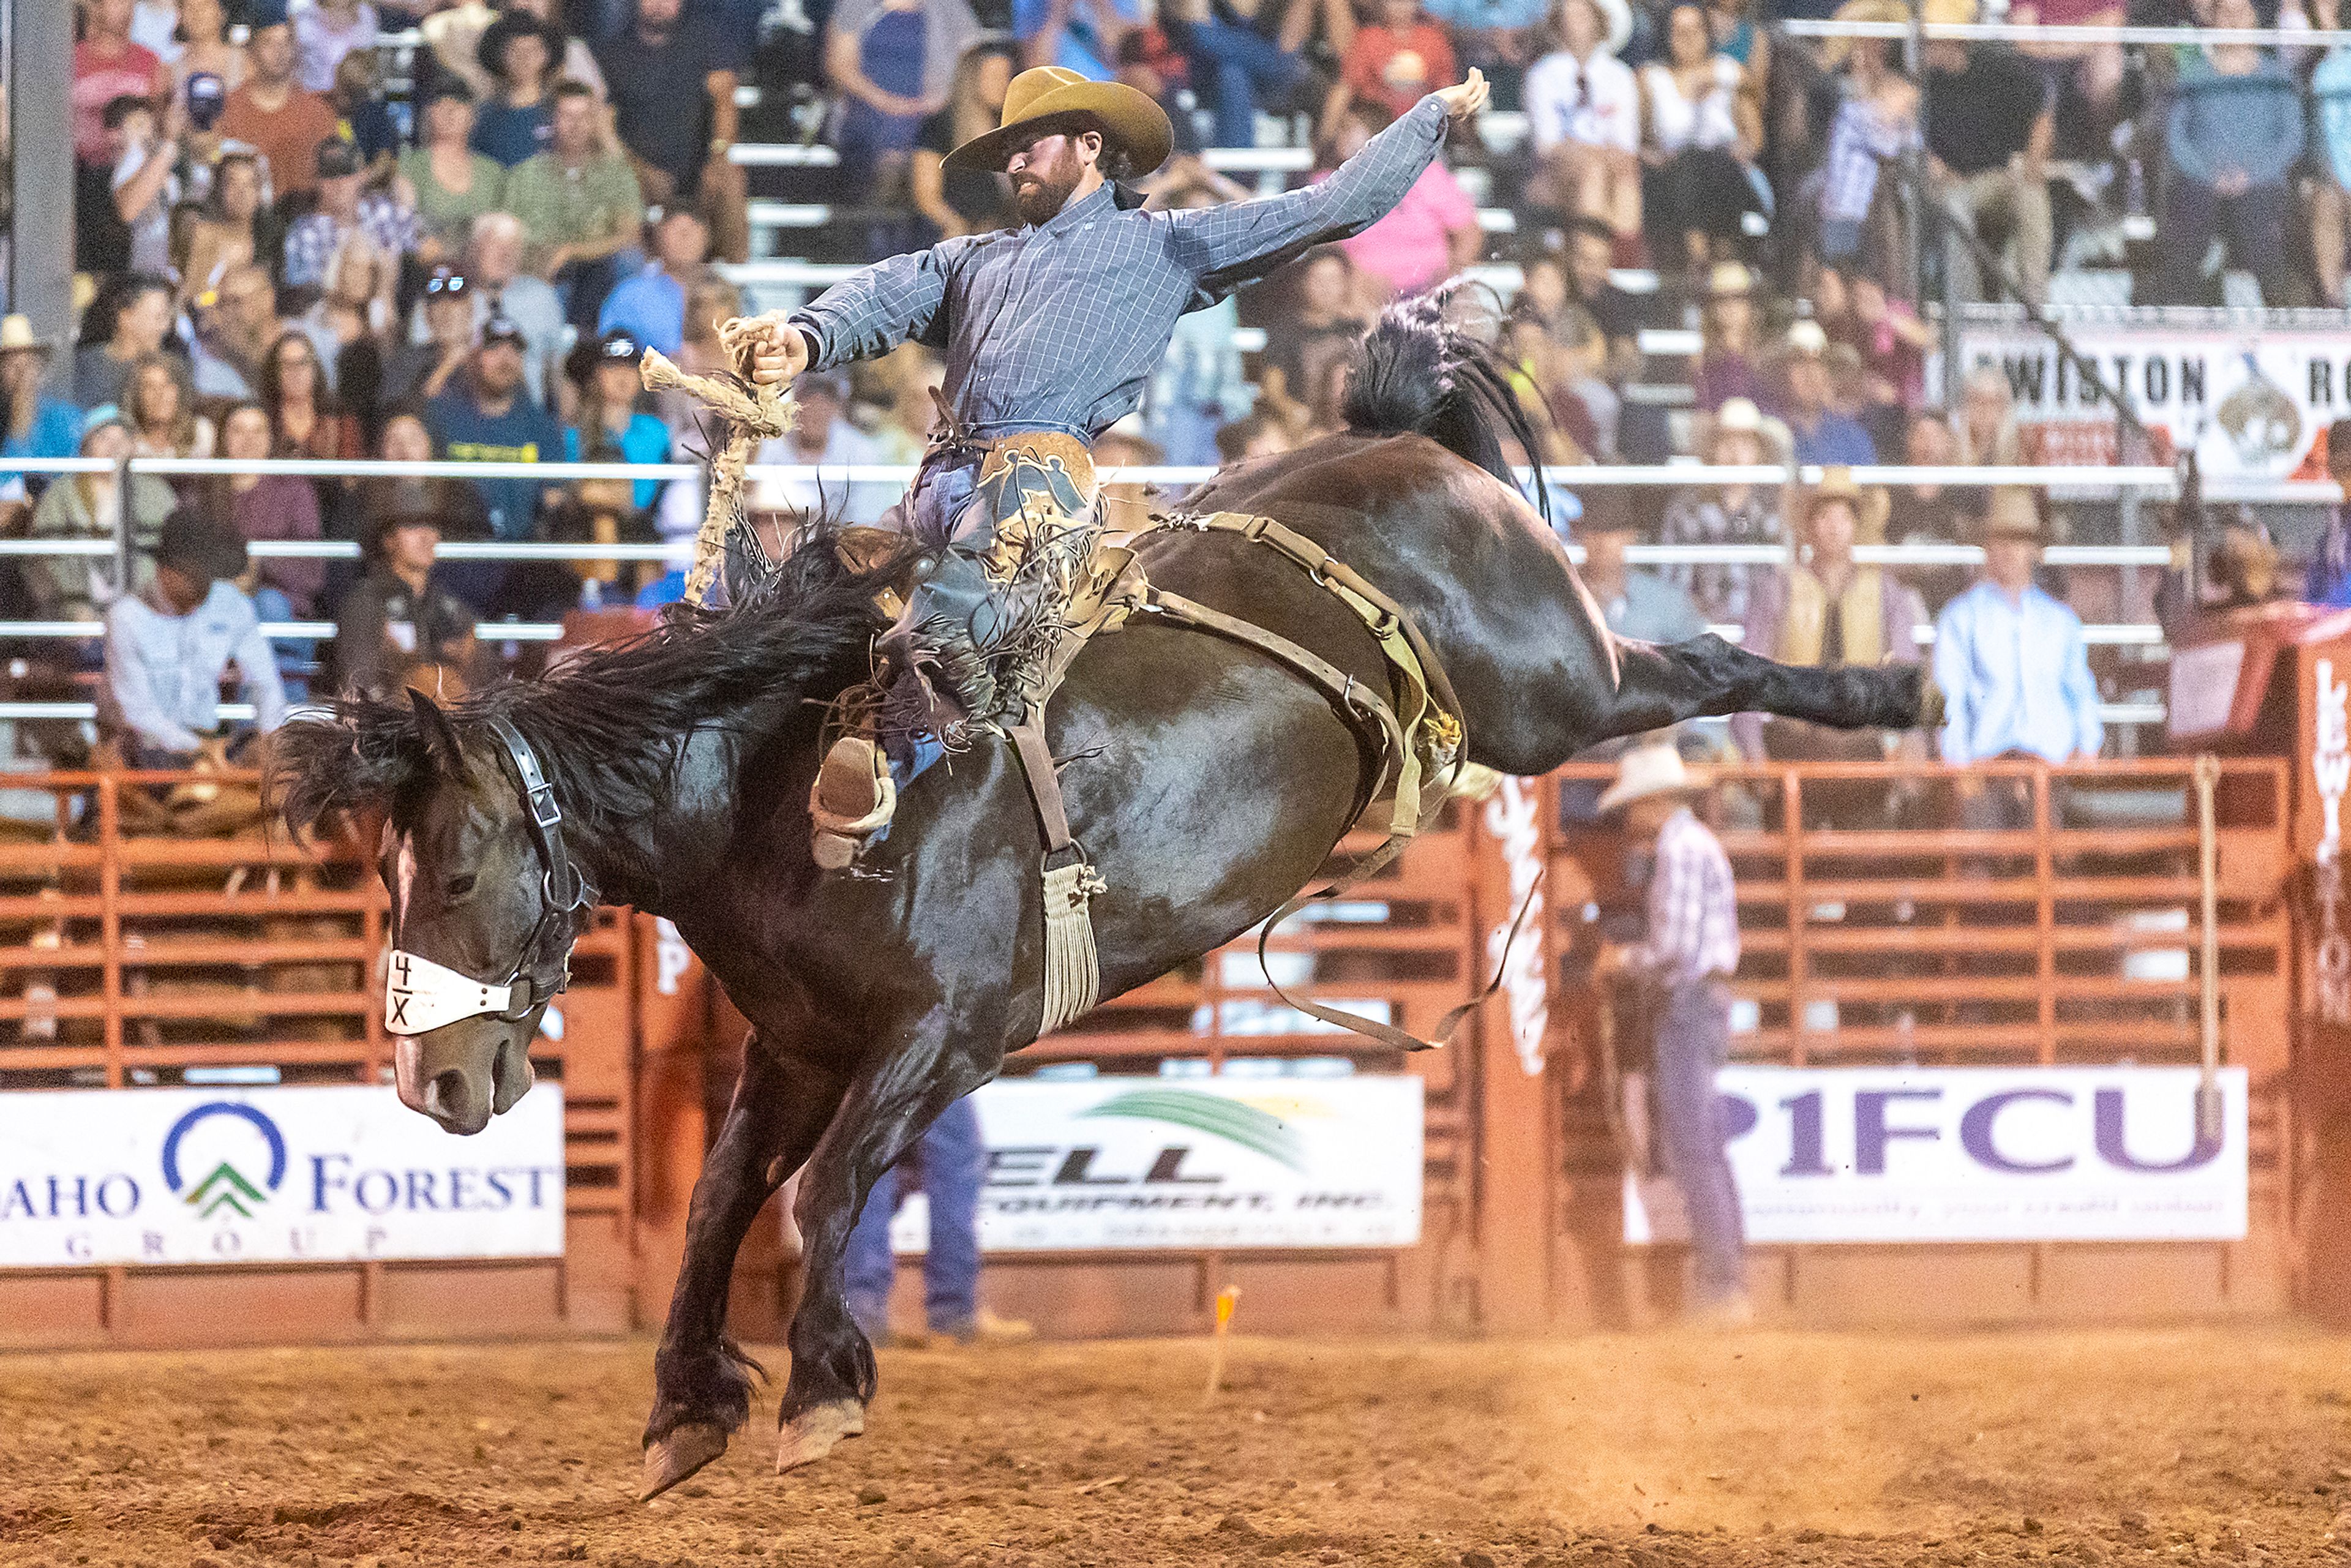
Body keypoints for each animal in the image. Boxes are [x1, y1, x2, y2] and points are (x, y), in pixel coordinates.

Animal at [275, 303, 1927, 1495]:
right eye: (387, 873)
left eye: (461, 866)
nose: (431, 1081)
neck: (785, 790)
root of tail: (1398, 443)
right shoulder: (795, 1045)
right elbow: (717, 1201)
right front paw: (689, 1401)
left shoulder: (943, 1035)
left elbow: (820, 1191)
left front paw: (821, 1385)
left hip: (1552, 690)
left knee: (1698, 664)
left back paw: (1884, 691)